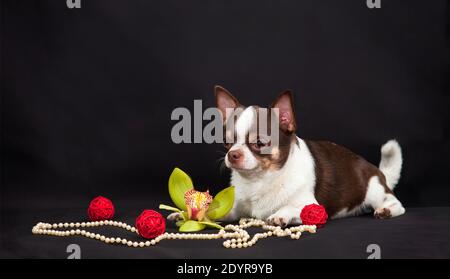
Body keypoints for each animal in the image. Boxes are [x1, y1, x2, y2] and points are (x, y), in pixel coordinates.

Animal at [213, 86, 406, 228]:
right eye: (227, 143)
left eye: (259, 143)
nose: (232, 154)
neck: (261, 180)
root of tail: (377, 170)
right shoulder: (237, 206)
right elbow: (224, 210)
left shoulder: (312, 207)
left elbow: (289, 206)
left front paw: (280, 215)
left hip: (374, 189)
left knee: (396, 203)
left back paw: (386, 210)